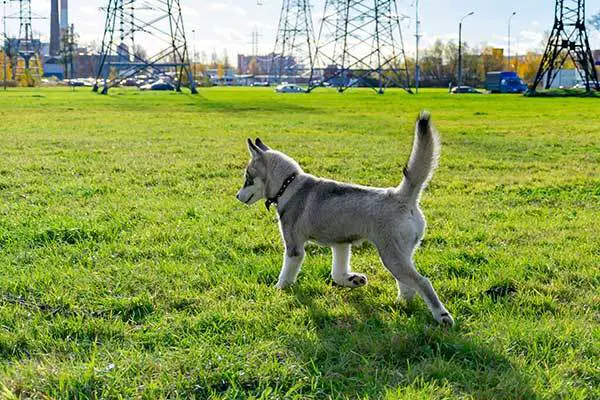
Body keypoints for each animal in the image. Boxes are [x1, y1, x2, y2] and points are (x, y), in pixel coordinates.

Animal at [237, 111, 452, 324]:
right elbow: (337, 273)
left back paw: (442, 316)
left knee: (422, 282)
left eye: (247, 178)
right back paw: (400, 304)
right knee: (407, 285)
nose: (237, 196)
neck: (288, 184)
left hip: (391, 256)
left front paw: (278, 291)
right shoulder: (341, 244)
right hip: (402, 254)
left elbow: (286, 276)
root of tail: (401, 196)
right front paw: (353, 280)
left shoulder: (294, 248)